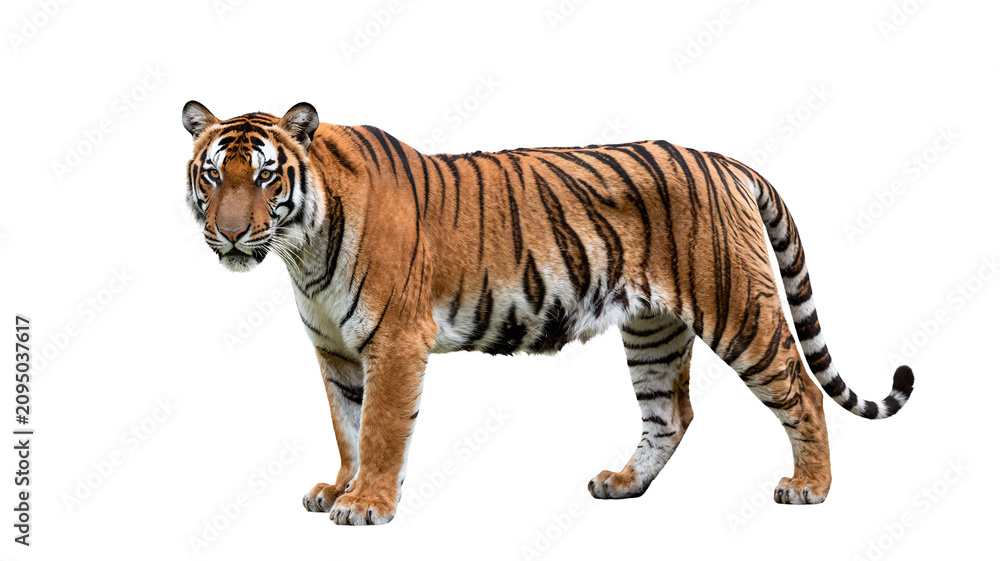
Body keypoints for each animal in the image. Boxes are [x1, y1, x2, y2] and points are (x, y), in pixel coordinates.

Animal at [181, 100, 914, 526]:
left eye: (266, 175)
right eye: (215, 175)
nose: (231, 234)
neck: (301, 248)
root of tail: (725, 161)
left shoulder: (393, 342)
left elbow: (383, 429)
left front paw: (367, 505)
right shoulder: (335, 350)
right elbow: (348, 426)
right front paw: (340, 488)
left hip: (737, 307)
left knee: (800, 388)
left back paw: (810, 488)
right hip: (652, 329)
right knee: (670, 413)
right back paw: (622, 484)